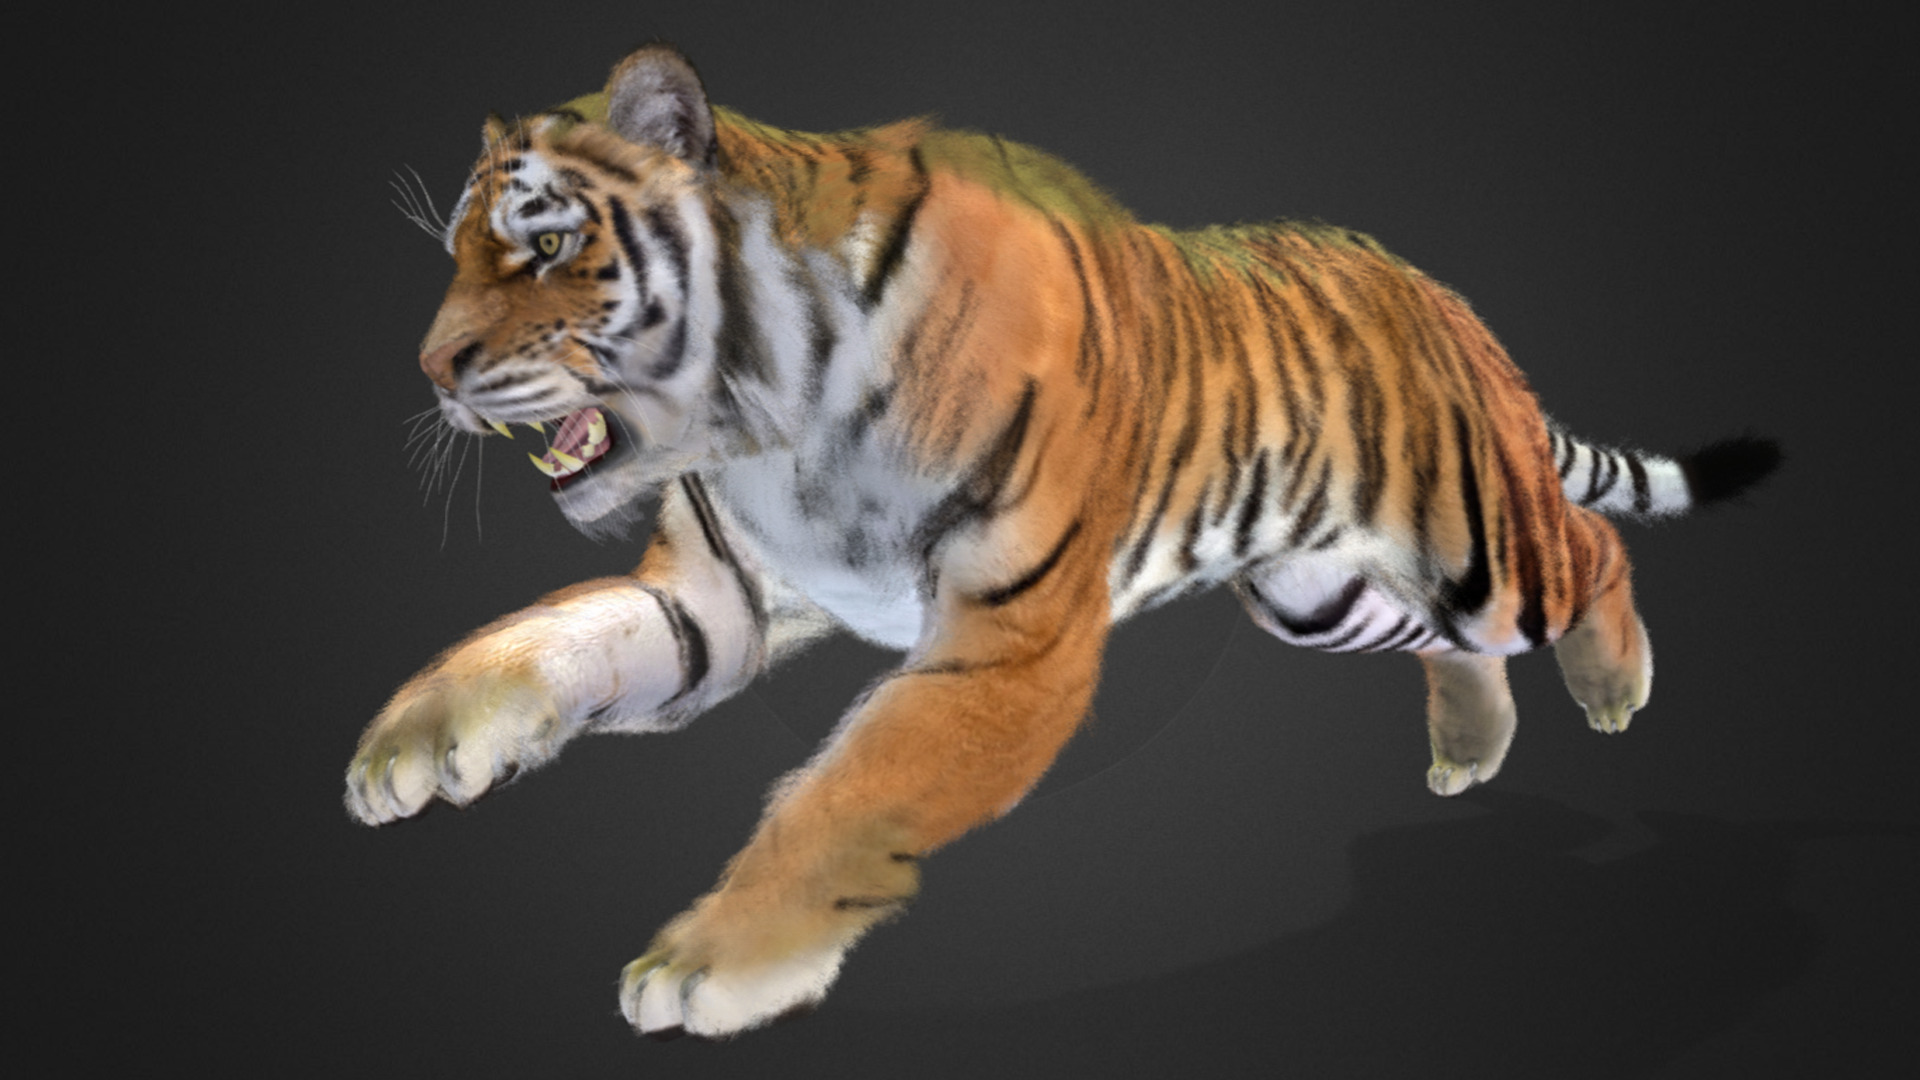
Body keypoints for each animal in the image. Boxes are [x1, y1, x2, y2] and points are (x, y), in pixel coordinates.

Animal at [346, 43, 1779, 1038]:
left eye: (542, 245)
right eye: (458, 253)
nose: (428, 369)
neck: (759, 425)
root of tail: (1439, 291)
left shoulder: (1010, 646)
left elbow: (842, 799)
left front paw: (708, 964)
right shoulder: (715, 603)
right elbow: (542, 637)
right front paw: (407, 746)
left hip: (1484, 545)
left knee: (1593, 551)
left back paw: (1615, 686)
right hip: (1320, 591)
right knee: (1452, 643)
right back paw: (1468, 750)